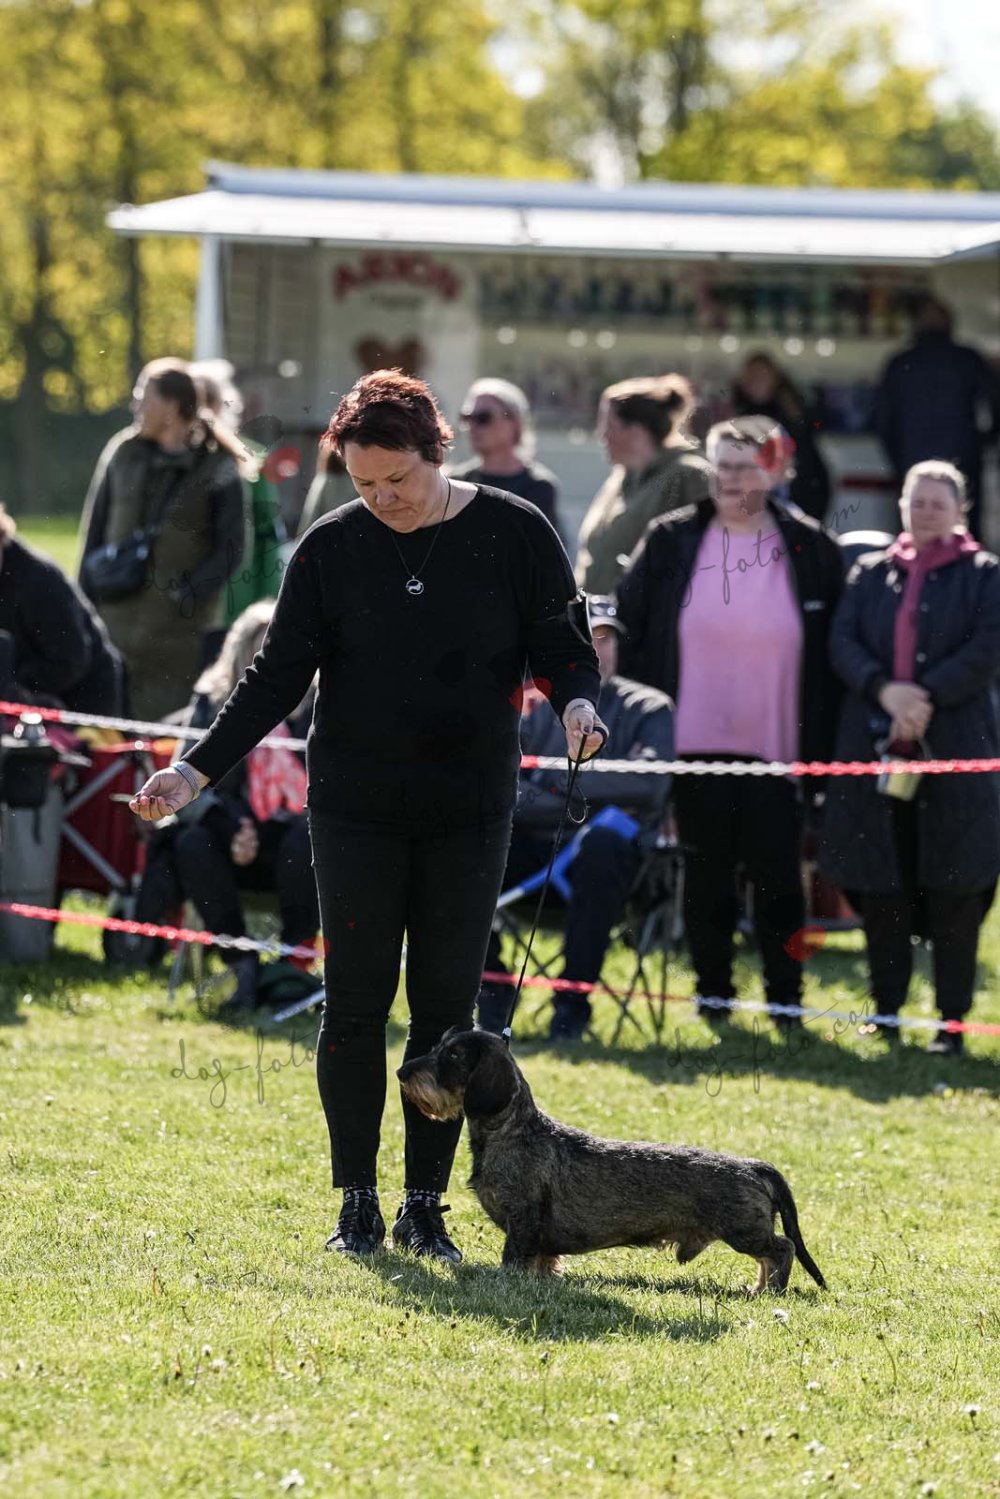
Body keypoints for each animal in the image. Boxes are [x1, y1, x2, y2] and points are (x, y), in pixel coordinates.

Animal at [397, 1028, 827, 1294]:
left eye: (453, 1055)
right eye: (439, 1046)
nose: (401, 1071)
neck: (512, 1131)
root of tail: (753, 1166)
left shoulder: (522, 1219)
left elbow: (514, 1257)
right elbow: (544, 1260)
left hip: (743, 1230)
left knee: (782, 1248)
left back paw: (768, 1291)